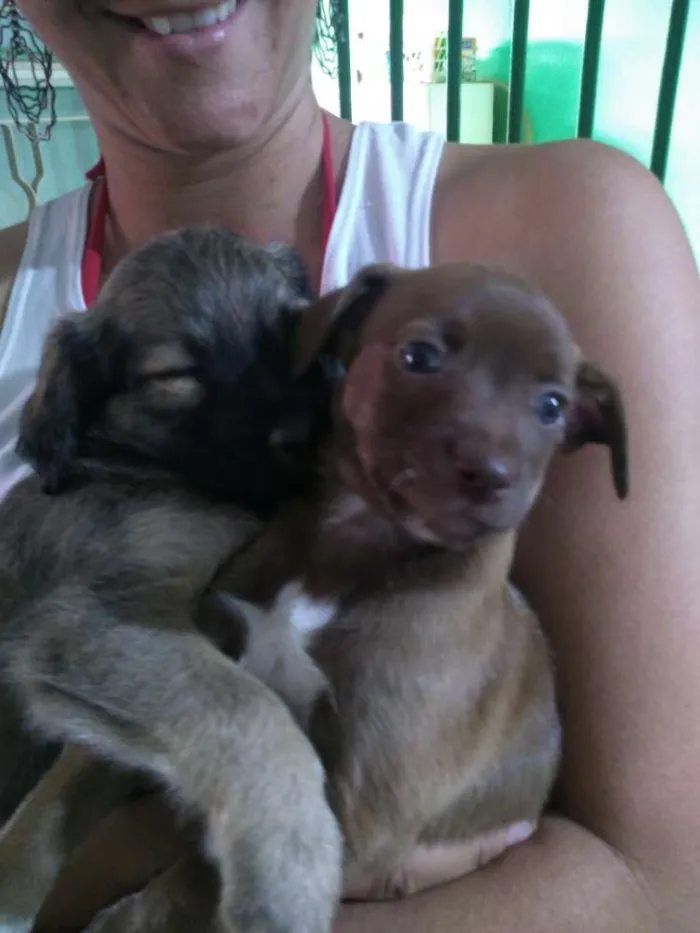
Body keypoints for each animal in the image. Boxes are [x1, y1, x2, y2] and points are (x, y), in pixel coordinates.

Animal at [0, 224, 342, 932]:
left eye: (292, 330)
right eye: (175, 376)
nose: (304, 432)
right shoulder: (95, 626)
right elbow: (249, 713)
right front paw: (291, 871)